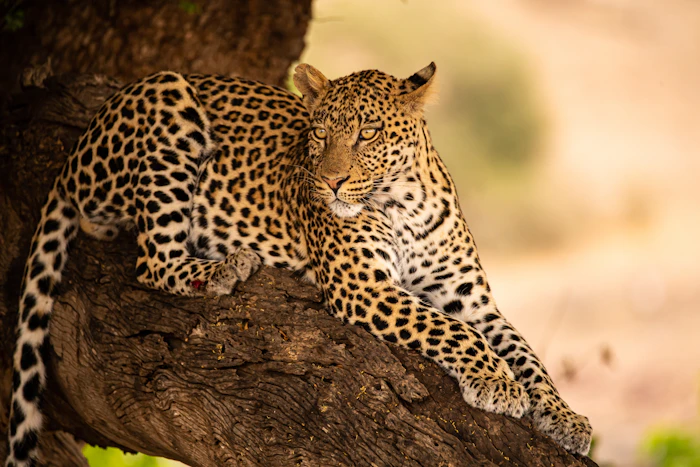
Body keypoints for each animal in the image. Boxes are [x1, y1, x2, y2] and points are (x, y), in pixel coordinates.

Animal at [5, 62, 592, 466]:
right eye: (320, 133)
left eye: (368, 134)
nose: (330, 182)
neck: (406, 200)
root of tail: (75, 150)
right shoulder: (365, 287)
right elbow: (449, 329)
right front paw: (496, 382)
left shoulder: (475, 301)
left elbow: (526, 353)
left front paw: (565, 418)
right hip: (166, 98)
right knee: (150, 258)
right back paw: (225, 267)